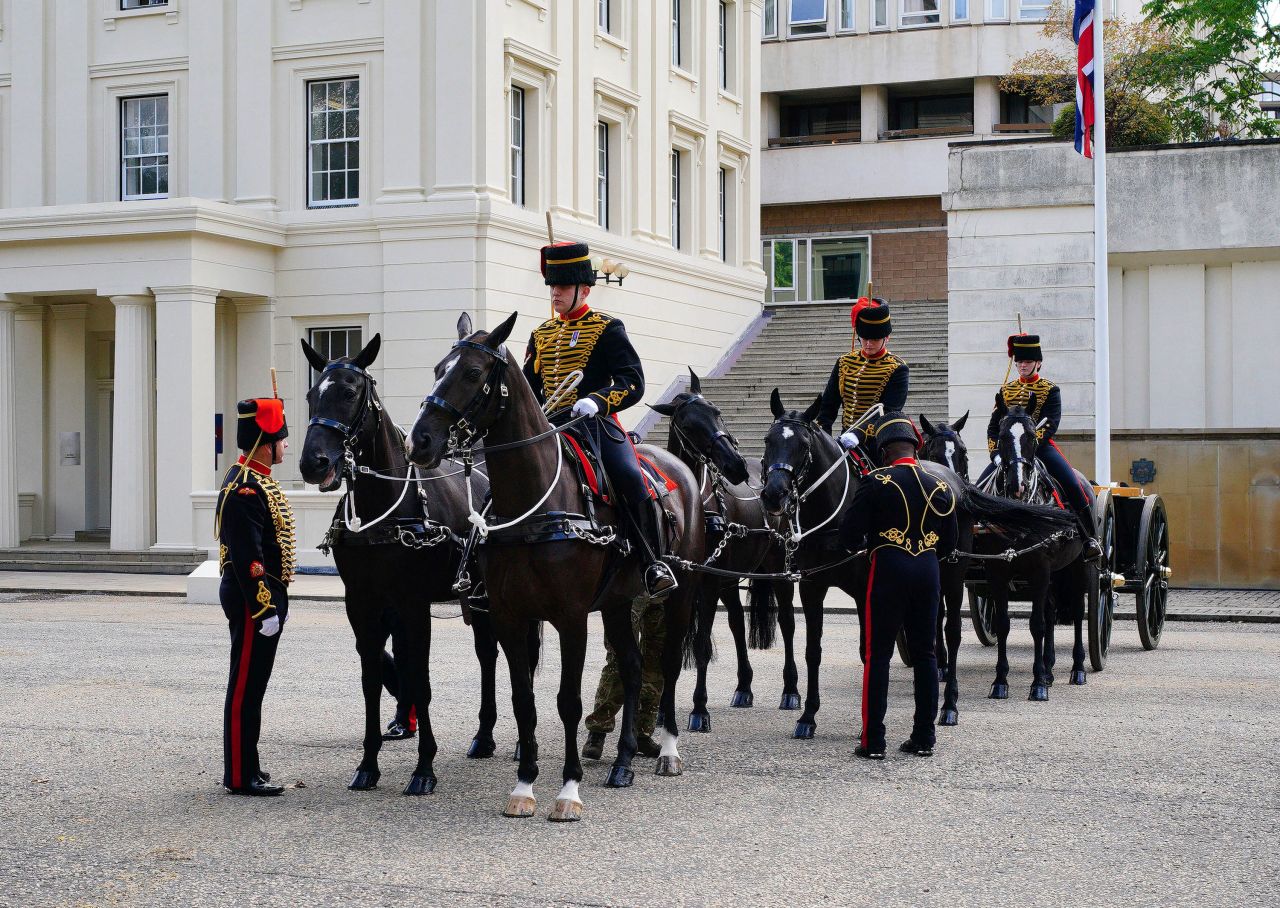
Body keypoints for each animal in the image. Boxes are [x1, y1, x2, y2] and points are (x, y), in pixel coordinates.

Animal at [294, 330, 509, 794]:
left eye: (350, 392)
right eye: (311, 395)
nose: (313, 462)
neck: (383, 509)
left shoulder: (414, 605)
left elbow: (421, 679)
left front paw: (424, 767)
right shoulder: (362, 603)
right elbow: (373, 679)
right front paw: (368, 762)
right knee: (484, 654)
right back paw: (478, 734)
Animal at [404, 311, 706, 819]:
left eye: (472, 373)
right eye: (437, 369)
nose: (420, 442)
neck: (537, 502)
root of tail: (678, 468)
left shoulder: (570, 617)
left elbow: (567, 700)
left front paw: (568, 790)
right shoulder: (509, 616)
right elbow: (524, 699)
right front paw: (524, 785)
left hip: (679, 593)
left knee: (664, 663)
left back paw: (667, 750)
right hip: (617, 601)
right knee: (632, 665)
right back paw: (622, 763)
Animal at [650, 371, 788, 732]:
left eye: (717, 411)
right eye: (688, 424)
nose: (735, 465)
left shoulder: (707, 584)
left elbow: (699, 645)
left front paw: (699, 709)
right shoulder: (691, 583)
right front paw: (661, 712)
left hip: (774, 570)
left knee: (787, 622)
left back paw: (791, 691)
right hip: (728, 578)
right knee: (738, 623)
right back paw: (744, 686)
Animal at [977, 404, 1090, 701]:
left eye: (1030, 436)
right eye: (1002, 436)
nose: (1017, 485)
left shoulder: (1039, 570)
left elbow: (1036, 625)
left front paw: (1037, 684)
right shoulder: (998, 571)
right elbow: (1003, 624)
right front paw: (1000, 681)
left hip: (1080, 567)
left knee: (1077, 612)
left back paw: (1078, 669)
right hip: (1055, 573)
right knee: (1051, 613)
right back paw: (1049, 669)